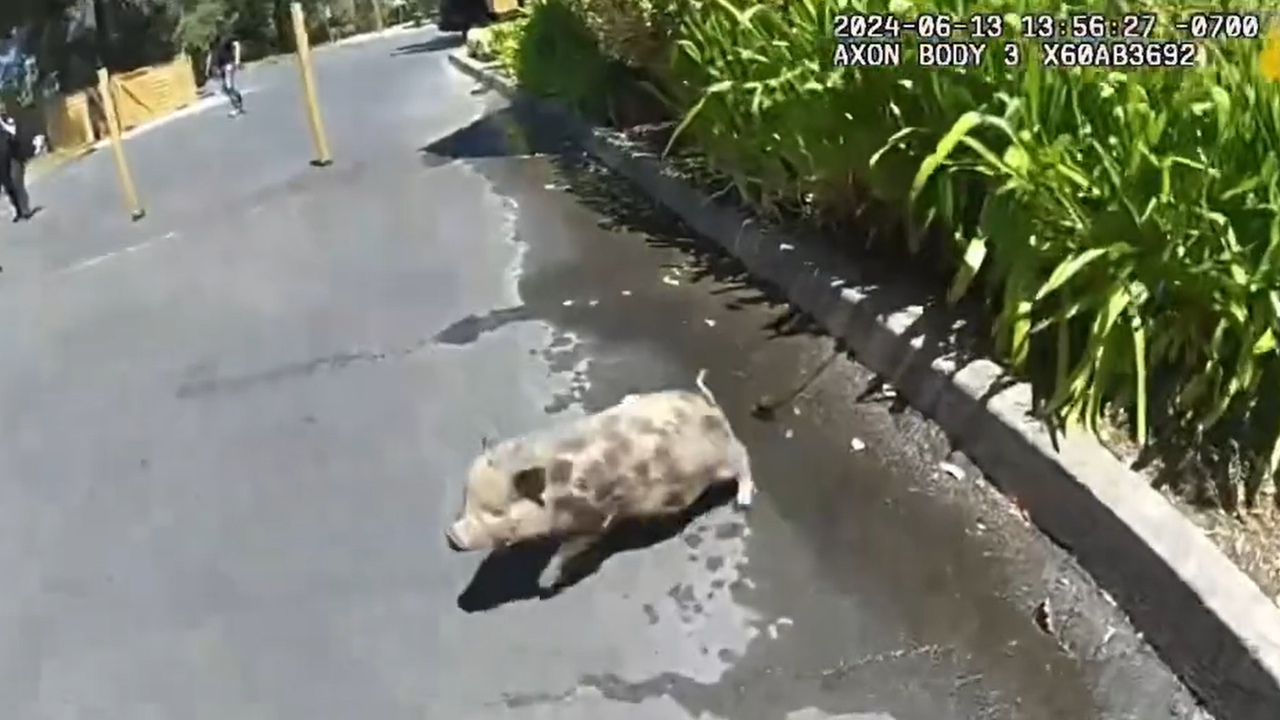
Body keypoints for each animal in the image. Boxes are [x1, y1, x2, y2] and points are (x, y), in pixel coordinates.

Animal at [448, 368, 752, 589]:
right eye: (466, 499)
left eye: (497, 511)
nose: (451, 537)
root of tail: (709, 408)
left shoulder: (599, 520)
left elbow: (570, 549)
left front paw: (545, 584)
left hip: (726, 458)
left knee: (744, 459)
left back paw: (743, 501)